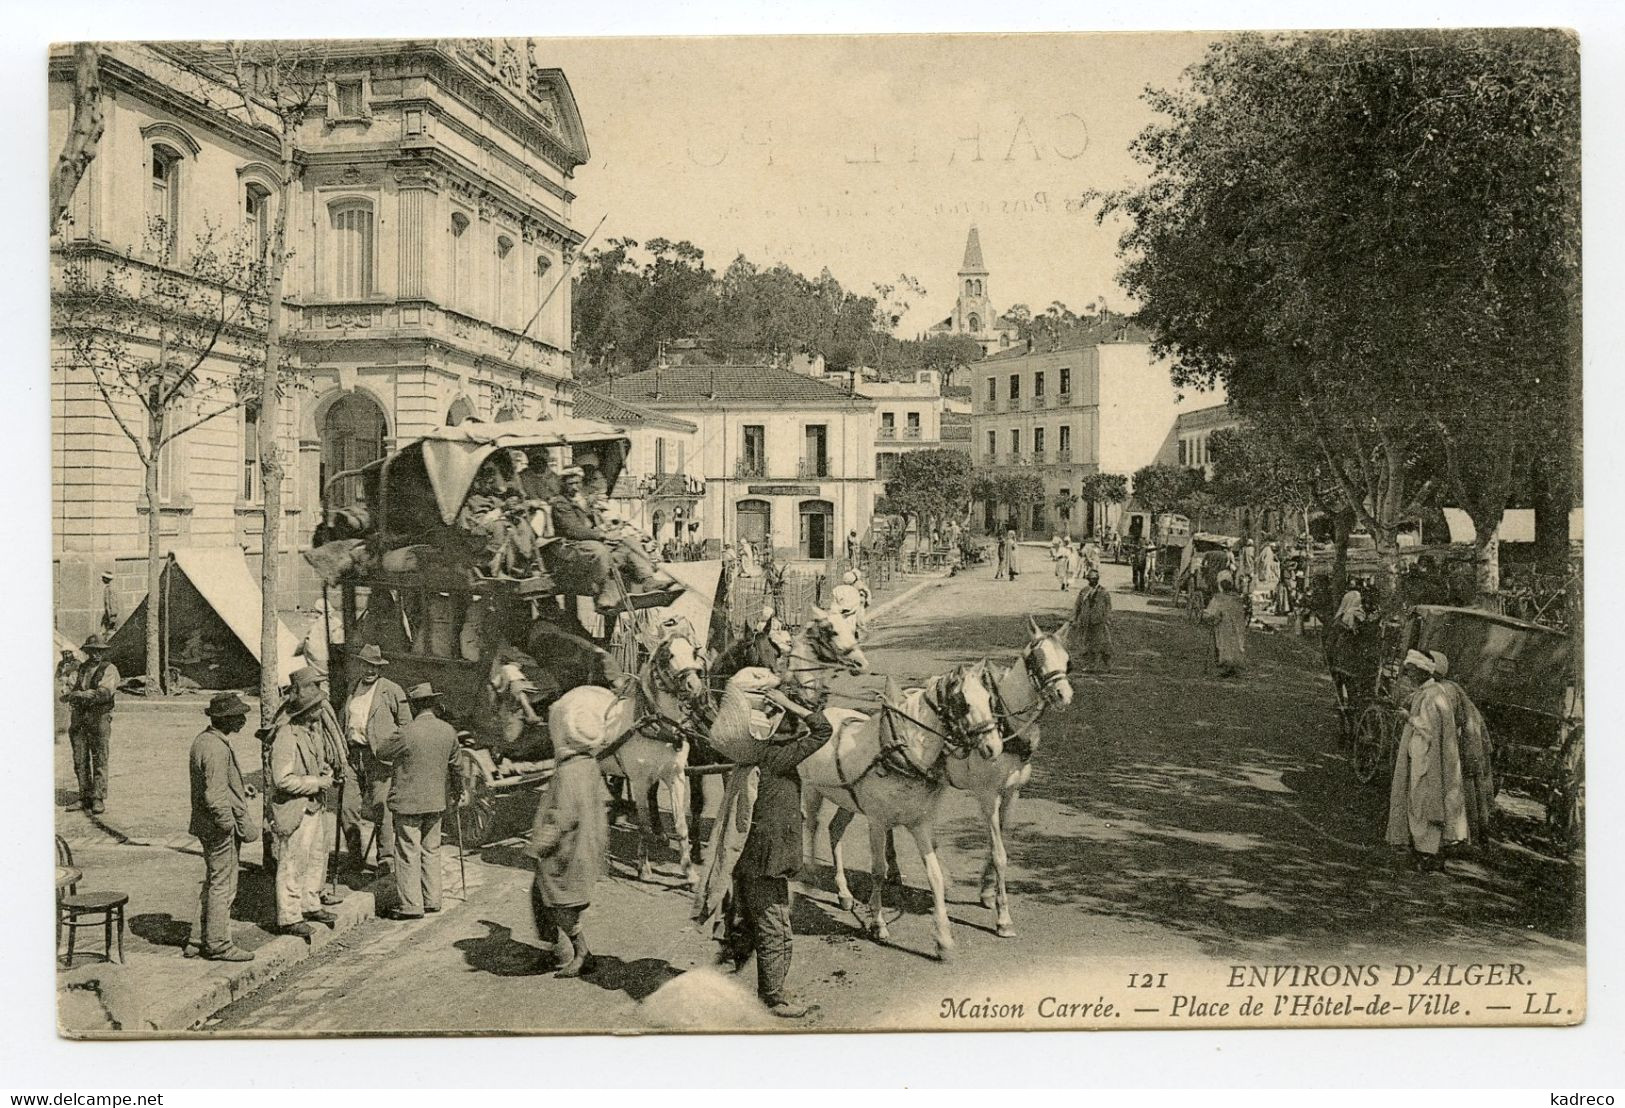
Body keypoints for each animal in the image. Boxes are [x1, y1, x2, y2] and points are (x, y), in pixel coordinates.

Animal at [549, 630, 708, 877]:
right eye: (668, 656)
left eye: (693, 652)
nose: (694, 685)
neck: (656, 726)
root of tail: (561, 700)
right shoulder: (640, 781)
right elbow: (643, 824)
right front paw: (644, 866)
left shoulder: (676, 776)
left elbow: (681, 824)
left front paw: (689, 871)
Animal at [799, 666, 1001, 955]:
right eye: (963, 703)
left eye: (989, 699)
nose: (994, 747)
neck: (902, 751)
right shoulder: (877, 822)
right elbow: (878, 871)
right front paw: (878, 924)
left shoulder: (919, 823)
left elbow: (934, 875)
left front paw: (943, 939)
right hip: (812, 790)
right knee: (812, 825)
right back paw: (810, 874)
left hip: (847, 800)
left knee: (834, 830)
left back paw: (844, 894)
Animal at [949, 614, 1072, 929]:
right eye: (1038, 659)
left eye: (1067, 660)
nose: (1064, 694)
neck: (1006, 725)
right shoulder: (986, 795)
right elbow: (999, 853)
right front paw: (1003, 916)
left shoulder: (1012, 792)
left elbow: (998, 844)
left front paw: (987, 893)